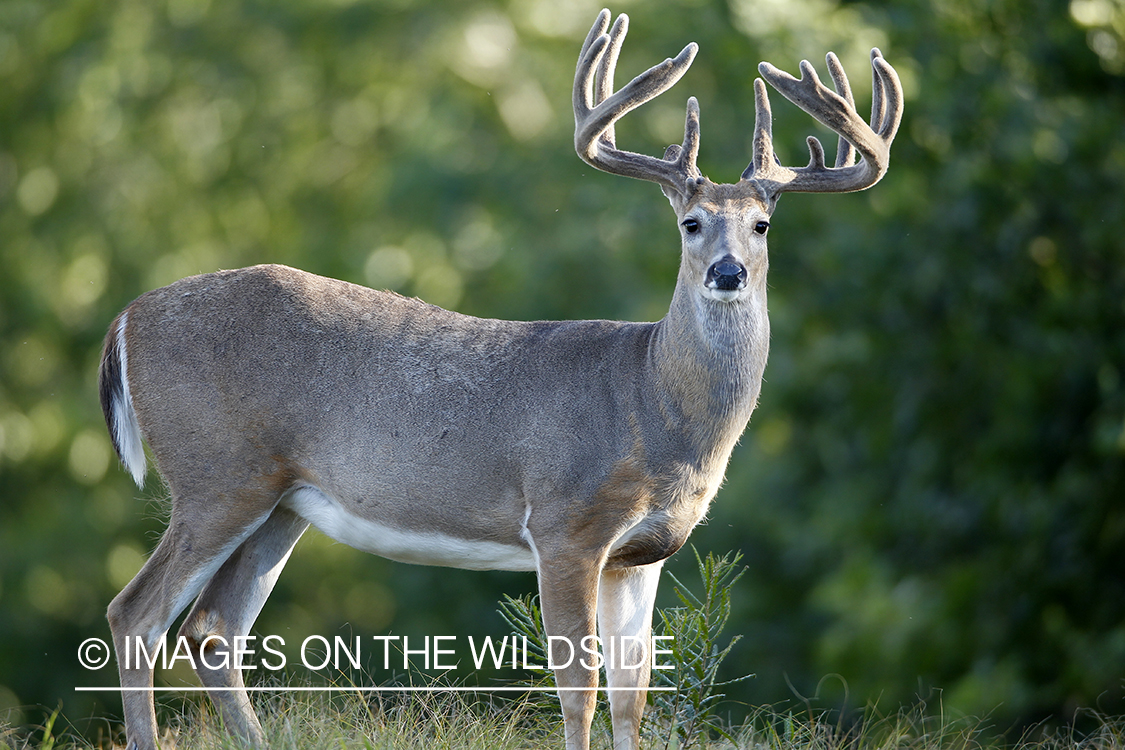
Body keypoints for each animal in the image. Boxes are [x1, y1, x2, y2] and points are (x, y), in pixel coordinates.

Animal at [99, 10, 904, 750]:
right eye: (690, 223)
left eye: (762, 224)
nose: (728, 273)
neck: (652, 403)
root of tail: (127, 319)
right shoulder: (564, 521)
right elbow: (578, 685)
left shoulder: (643, 553)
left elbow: (632, 694)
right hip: (215, 474)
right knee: (137, 614)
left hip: (281, 499)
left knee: (212, 628)